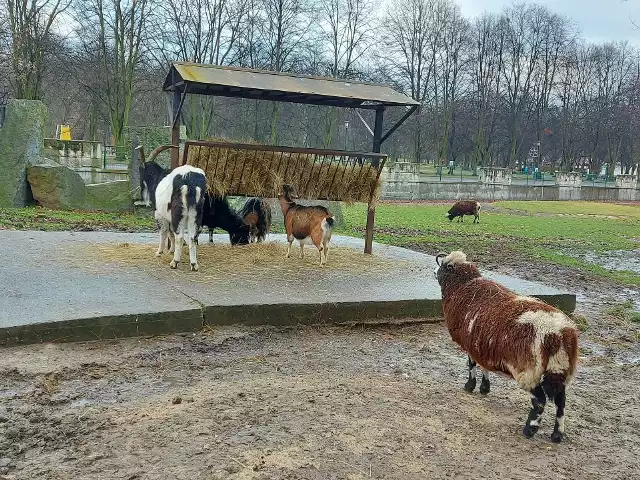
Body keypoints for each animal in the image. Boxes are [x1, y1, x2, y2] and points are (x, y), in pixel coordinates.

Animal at [436, 251, 580, 442]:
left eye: (444, 266)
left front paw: (470, 386)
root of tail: (559, 333)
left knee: (540, 401)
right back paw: (557, 434)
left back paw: (529, 429)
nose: (434, 272)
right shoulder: (481, 343)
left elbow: (472, 364)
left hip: (529, 370)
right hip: (561, 368)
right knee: (560, 401)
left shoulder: (470, 343)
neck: (463, 286)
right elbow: (483, 365)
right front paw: (484, 388)